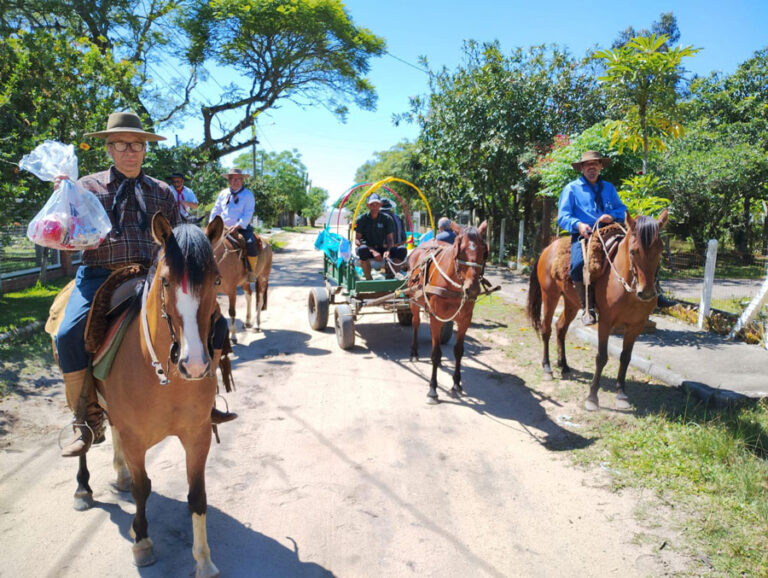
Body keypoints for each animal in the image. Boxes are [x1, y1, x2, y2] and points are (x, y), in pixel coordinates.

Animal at [75, 214, 224, 572]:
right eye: (166, 282)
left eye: (216, 280)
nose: (194, 365)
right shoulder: (135, 439)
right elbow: (144, 489)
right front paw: (141, 542)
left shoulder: (198, 435)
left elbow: (197, 495)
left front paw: (204, 561)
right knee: (84, 436)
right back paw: (83, 490)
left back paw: (120, 475)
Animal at [404, 220, 488, 400]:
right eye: (460, 250)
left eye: (484, 251)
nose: (472, 289)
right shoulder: (435, 317)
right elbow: (435, 353)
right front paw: (433, 389)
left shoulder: (465, 320)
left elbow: (458, 351)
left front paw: (456, 383)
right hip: (414, 299)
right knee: (416, 322)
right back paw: (414, 351)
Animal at [528, 210, 664, 410]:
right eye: (633, 251)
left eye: (660, 250)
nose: (646, 293)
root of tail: (548, 248)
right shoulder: (606, 323)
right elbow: (601, 357)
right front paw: (592, 397)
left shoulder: (636, 326)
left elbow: (625, 357)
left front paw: (621, 394)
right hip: (550, 296)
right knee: (546, 329)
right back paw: (547, 368)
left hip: (572, 302)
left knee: (561, 328)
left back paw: (564, 365)